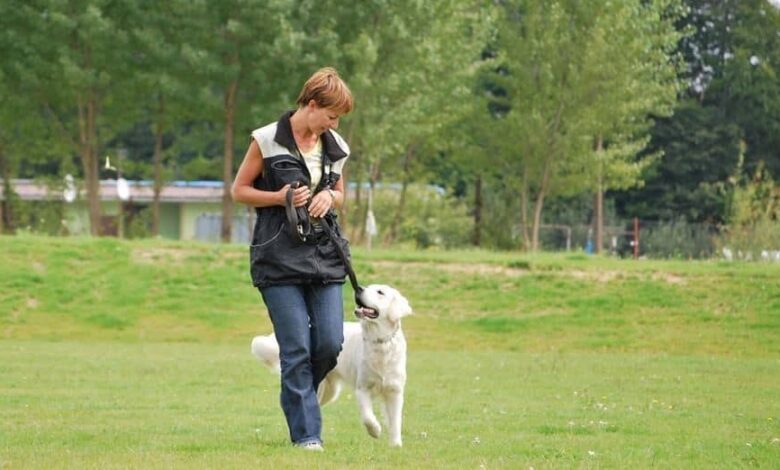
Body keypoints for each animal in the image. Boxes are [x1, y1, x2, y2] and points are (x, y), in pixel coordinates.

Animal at [251, 284, 412, 447]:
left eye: (380, 292)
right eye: (367, 287)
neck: (381, 342)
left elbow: (395, 421)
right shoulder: (362, 388)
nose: (359, 288)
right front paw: (375, 430)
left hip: (330, 391)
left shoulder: (394, 391)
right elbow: (367, 417)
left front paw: (396, 445)